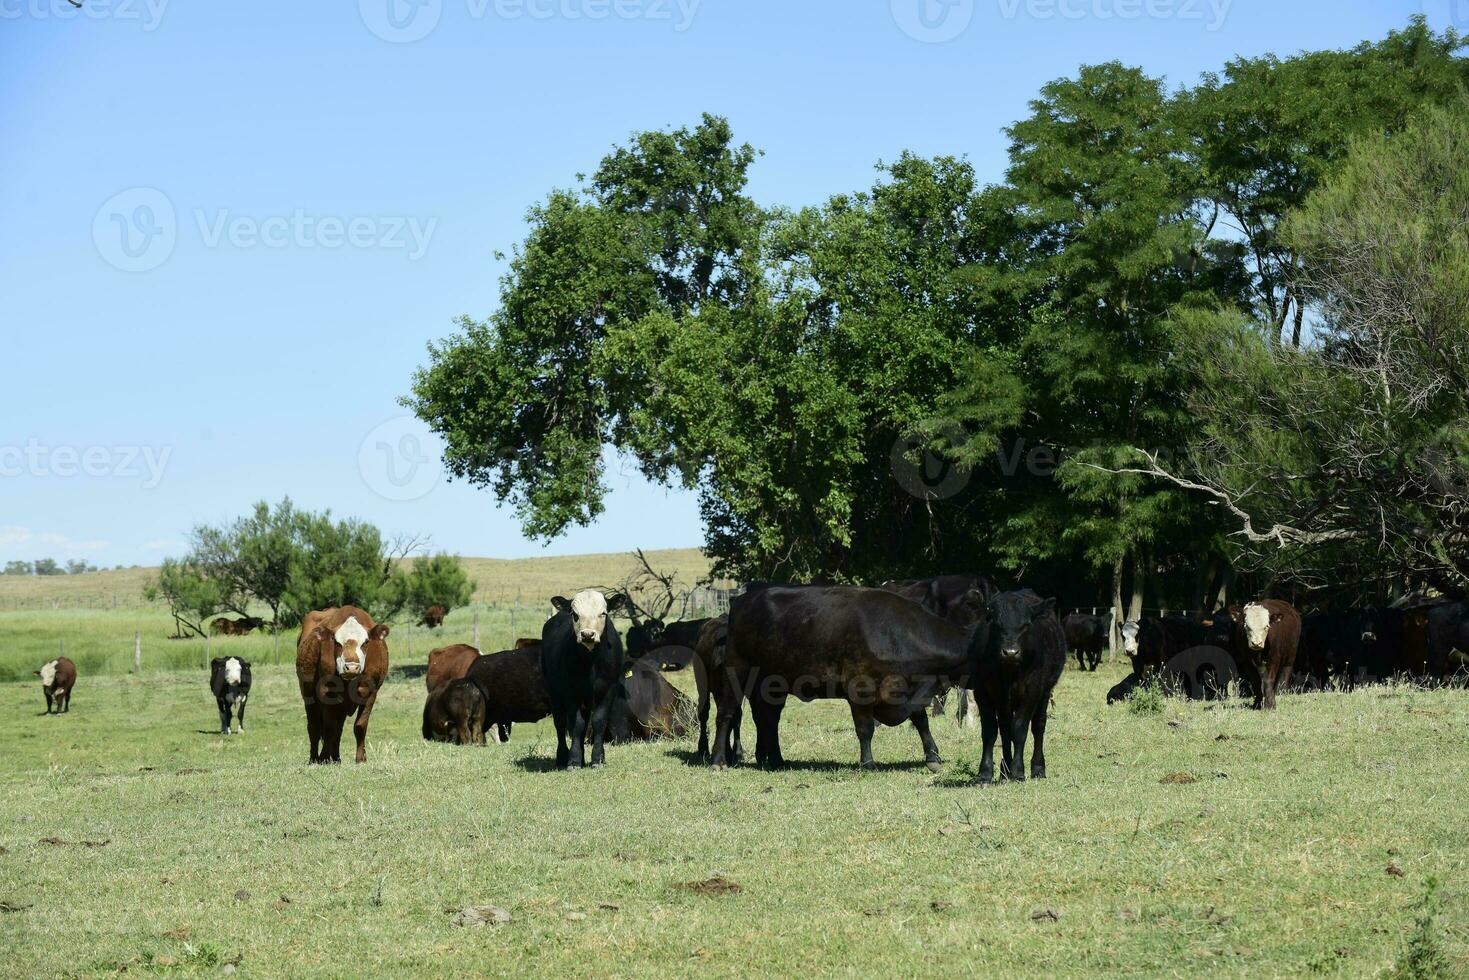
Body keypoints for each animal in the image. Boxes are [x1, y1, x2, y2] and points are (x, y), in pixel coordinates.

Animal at [293, 605, 390, 764]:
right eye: (337, 642)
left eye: (365, 642)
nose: (351, 667)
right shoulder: (327, 693)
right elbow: (329, 727)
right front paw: (324, 758)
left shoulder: (371, 692)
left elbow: (360, 725)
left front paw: (361, 758)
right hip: (308, 694)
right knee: (314, 727)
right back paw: (314, 758)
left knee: (338, 730)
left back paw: (336, 757)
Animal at [713, 587, 975, 769]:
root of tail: (742, 600)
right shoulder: (860, 691)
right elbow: (865, 729)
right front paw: (868, 762)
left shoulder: (906, 689)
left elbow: (921, 721)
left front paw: (933, 756)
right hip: (736, 671)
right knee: (727, 714)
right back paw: (718, 760)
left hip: (771, 685)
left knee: (768, 719)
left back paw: (776, 759)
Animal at [969, 590, 1063, 781]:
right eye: (995, 624)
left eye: (1026, 625)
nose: (1011, 653)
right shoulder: (981, 690)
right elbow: (990, 731)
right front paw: (985, 772)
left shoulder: (1033, 689)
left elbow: (1020, 729)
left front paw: (1018, 771)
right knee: (1005, 728)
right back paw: (1005, 771)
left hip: (1045, 691)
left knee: (1038, 726)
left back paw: (1037, 768)